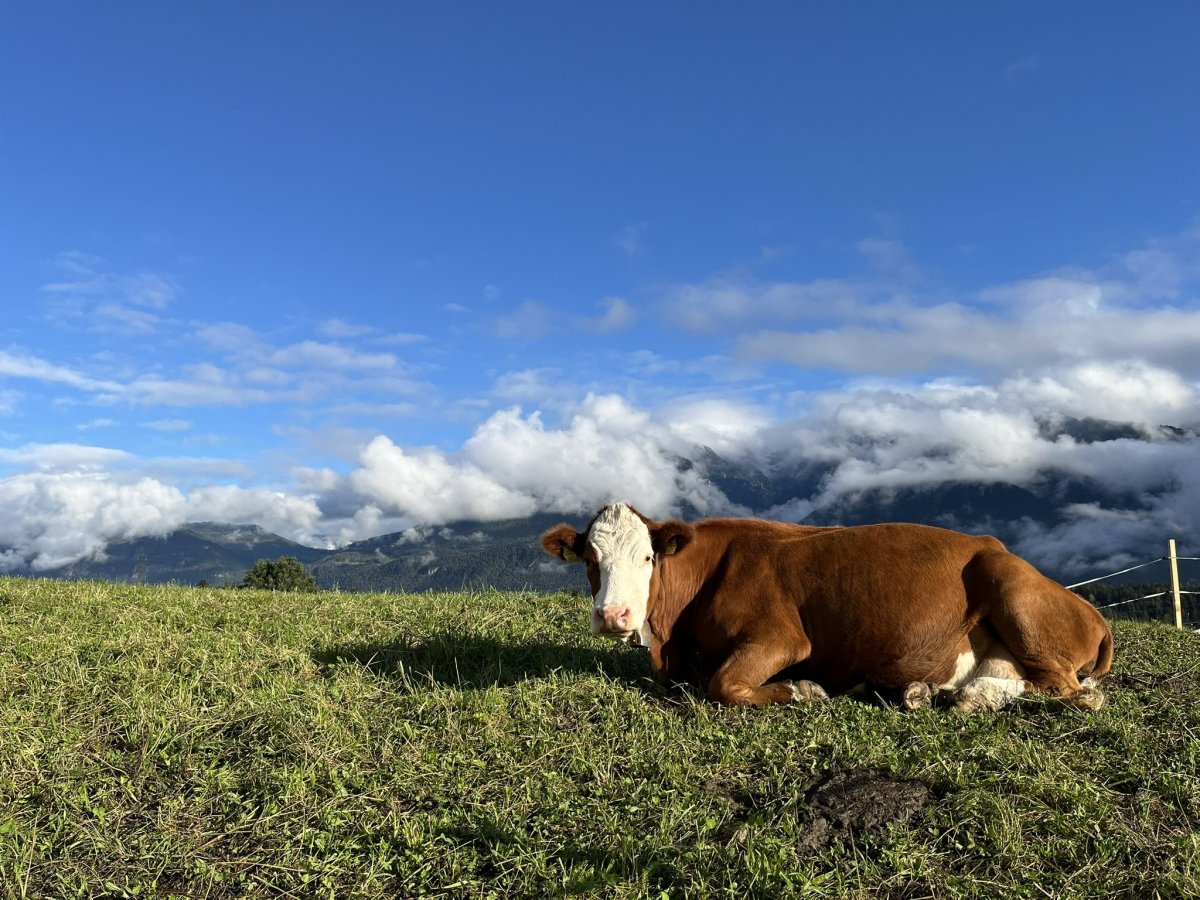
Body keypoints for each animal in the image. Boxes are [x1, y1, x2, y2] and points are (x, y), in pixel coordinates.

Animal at [544, 504, 1113, 715]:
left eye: (647, 557)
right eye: (590, 559)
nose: (614, 616)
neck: (671, 643)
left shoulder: (782, 638)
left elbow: (724, 684)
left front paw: (803, 689)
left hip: (1013, 591)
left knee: (1076, 692)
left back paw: (966, 697)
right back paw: (928, 692)